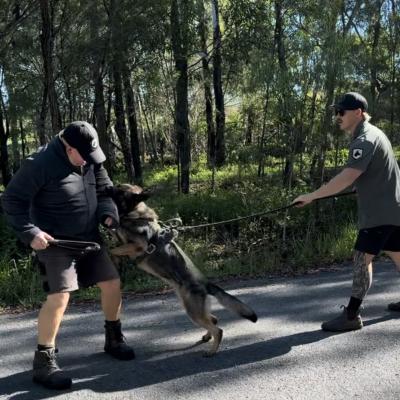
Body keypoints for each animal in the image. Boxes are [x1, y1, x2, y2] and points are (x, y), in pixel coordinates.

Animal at [105, 184, 256, 356]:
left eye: (119, 191)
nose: (107, 187)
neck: (137, 215)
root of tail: (205, 283)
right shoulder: (123, 239)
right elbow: (114, 240)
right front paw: (116, 261)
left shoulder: (136, 246)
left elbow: (112, 249)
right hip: (193, 309)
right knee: (214, 320)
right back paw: (207, 337)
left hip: (193, 312)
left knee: (218, 330)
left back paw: (211, 351)